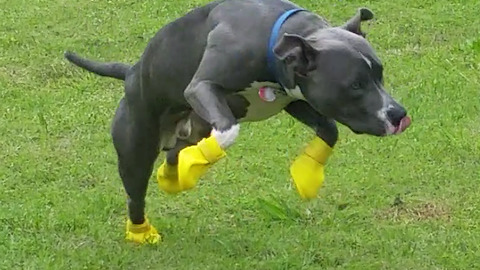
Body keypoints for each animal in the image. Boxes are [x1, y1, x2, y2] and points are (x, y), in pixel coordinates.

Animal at [64, 0, 412, 245]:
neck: (275, 37)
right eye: (355, 85)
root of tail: (130, 72)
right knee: (136, 196)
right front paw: (198, 162)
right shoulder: (201, 87)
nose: (398, 115)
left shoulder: (296, 99)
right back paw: (142, 231)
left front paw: (307, 175)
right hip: (136, 150)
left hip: (192, 129)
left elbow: (330, 129)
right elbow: (230, 129)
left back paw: (174, 175)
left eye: (380, 73)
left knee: (174, 152)